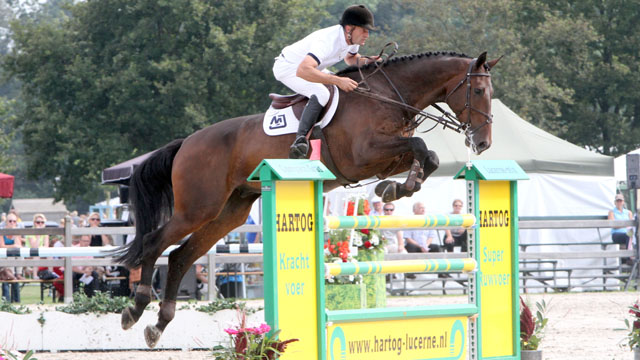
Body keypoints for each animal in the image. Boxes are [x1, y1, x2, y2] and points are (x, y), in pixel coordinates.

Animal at [117, 50, 502, 346]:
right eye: (478, 89)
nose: (483, 143)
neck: (387, 97)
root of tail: (186, 142)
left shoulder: (386, 157)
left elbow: (427, 155)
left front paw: (395, 188)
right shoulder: (364, 155)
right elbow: (421, 146)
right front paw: (398, 187)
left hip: (230, 212)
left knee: (180, 256)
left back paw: (158, 325)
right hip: (198, 207)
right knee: (154, 243)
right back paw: (135, 308)